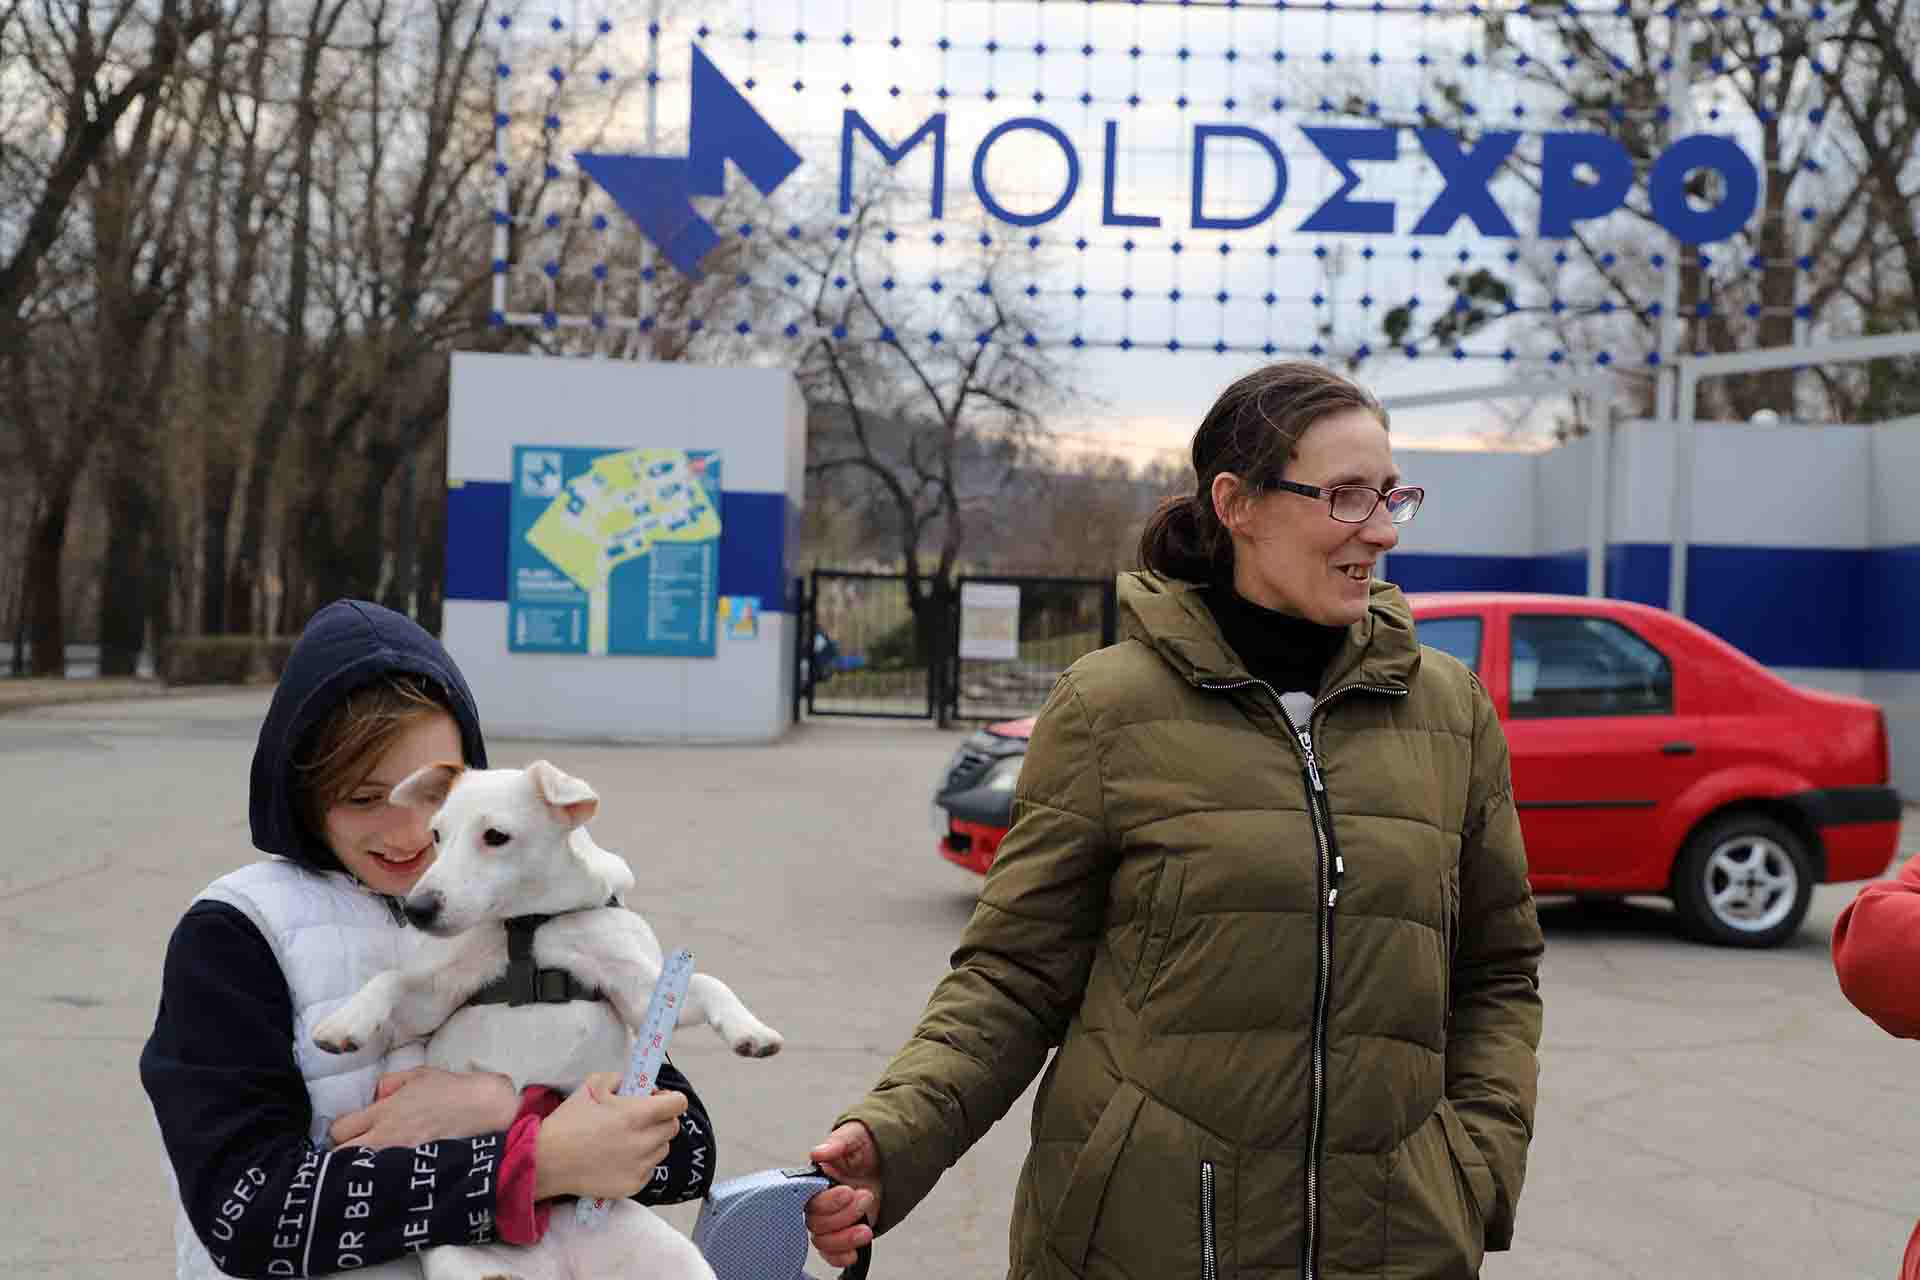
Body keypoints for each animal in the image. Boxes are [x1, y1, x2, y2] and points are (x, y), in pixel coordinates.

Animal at [314, 759, 779, 1280]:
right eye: (436, 834)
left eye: (495, 836)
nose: (417, 909)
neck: (529, 927)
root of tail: (560, 1263)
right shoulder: (431, 1001)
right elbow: (391, 980)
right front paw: (344, 1024)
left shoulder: (643, 994)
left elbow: (711, 982)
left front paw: (752, 1031)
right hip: (453, 1257)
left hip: (676, 1260)